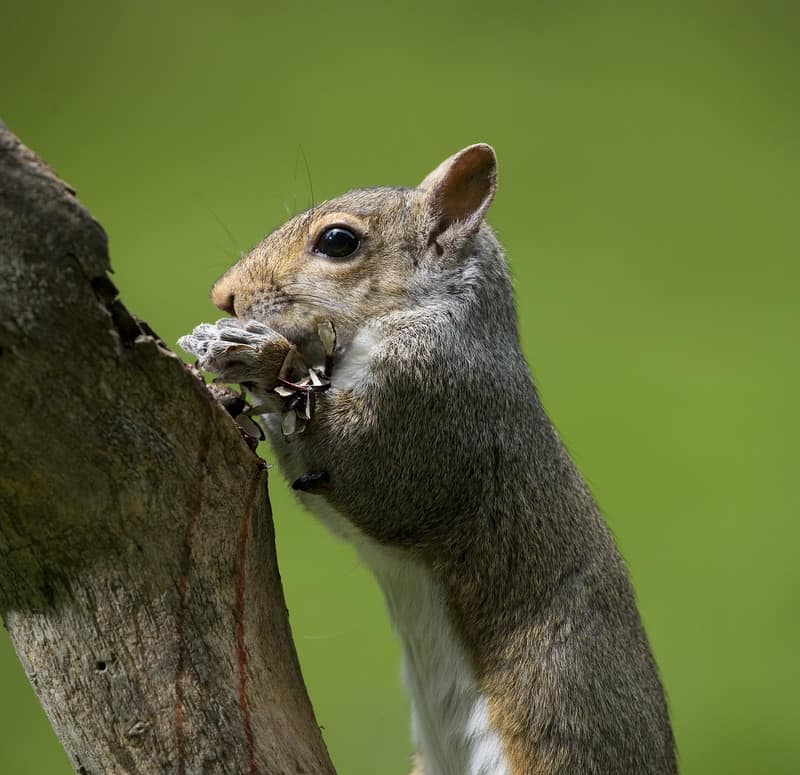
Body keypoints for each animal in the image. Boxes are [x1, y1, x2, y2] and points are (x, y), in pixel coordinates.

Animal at [180, 146, 676, 775]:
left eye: (338, 242)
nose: (223, 296)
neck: (434, 313)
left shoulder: (427, 406)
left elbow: (360, 464)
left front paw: (260, 358)